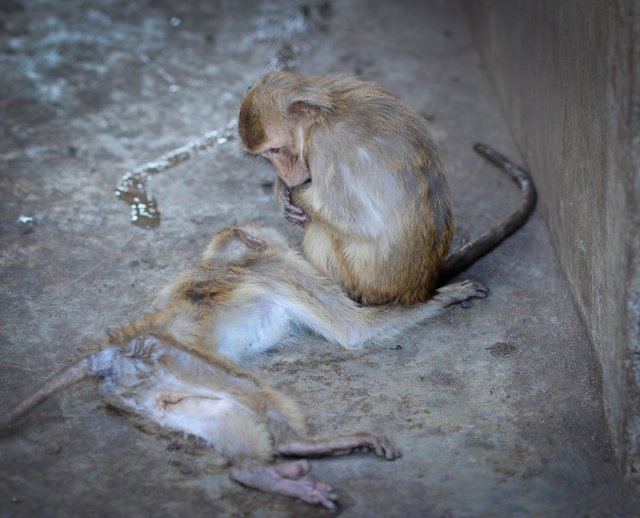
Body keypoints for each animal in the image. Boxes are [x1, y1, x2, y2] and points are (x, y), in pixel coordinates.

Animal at [238, 71, 536, 305]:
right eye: (267, 156)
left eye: (276, 150)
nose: (283, 172)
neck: (325, 115)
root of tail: (421, 286)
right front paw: (282, 192)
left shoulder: (327, 149)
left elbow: (360, 221)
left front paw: (294, 195)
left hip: (367, 280)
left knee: (323, 228)